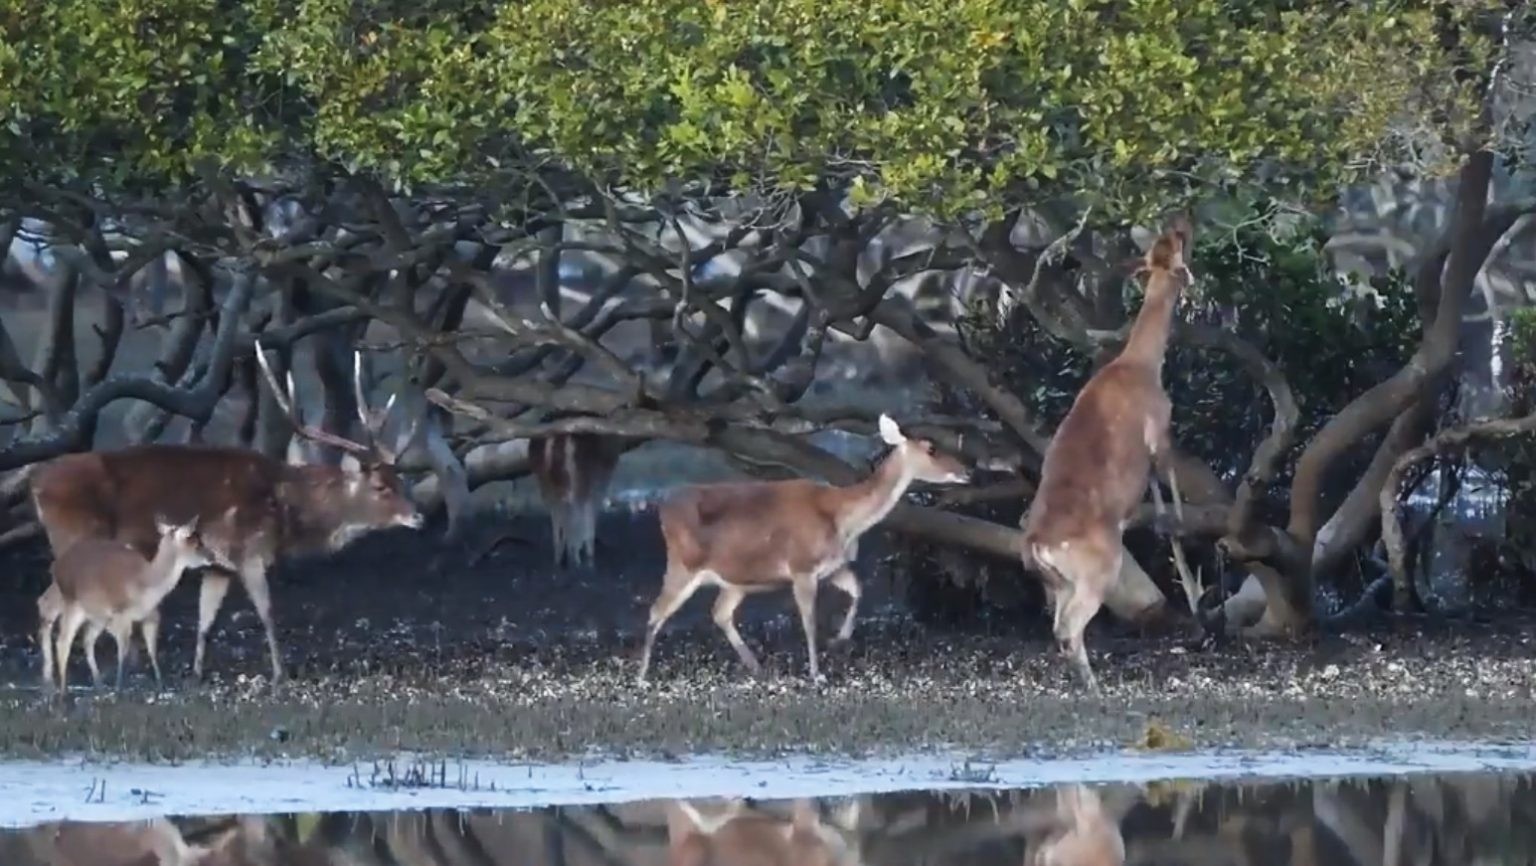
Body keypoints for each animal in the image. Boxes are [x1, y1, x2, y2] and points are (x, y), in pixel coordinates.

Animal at [40, 512, 221, 690]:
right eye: (196, 544)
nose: (212, 556)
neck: (145, 586)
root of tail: (57, 565)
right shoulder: (121, 615)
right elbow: (123, 653)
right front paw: (119, 689)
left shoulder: (152, 614)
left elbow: (152, 648)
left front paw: (160, 683)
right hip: (73, 603)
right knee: (63, 641)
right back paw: (62, 691)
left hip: (97, 614)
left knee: (85, 637)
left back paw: (97, 683)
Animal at [528, 429, 623, 568]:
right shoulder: (598, 484)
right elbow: (589, 522)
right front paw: (588, 552)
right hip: (577, 483)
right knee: (574, 517)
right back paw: (576, 559)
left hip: (546, 485)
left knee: (557, 517)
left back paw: (559, 560)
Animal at [629, 411, 964, 684]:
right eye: (930, 448)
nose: (966, 471)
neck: (843, 520)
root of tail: (663, 506)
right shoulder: (802, 565)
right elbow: (809, 621)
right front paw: (817, 673)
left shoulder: (833, 566)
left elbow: (858, 590)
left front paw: (839, 640)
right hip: (682, 563)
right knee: (656, 610)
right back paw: (642, 676)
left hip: (736, 578)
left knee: (719, 612)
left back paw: (756, 666)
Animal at [1026, 218, 1204, 697]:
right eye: (1177, 245)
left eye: (1166, 239)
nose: (1182, 221)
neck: (1142, 365)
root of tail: (1037, 547)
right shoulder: (1160, 426)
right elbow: (1169, 475)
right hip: (1097, 571)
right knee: (1070, 626)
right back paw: (1094, 688)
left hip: (1058, 582)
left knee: (1056, 626)